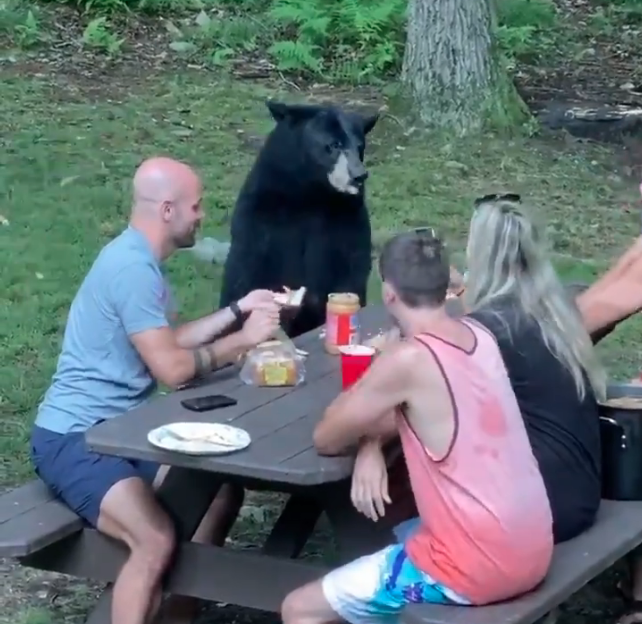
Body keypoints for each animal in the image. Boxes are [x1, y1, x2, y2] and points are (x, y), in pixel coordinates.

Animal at [218, 100, 378, 338]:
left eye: (360, 146)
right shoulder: (262, 212)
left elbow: (352, 263)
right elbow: (249, 267)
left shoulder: (348, 215)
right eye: (334, 144)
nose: (359, 175)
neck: (311, 193)